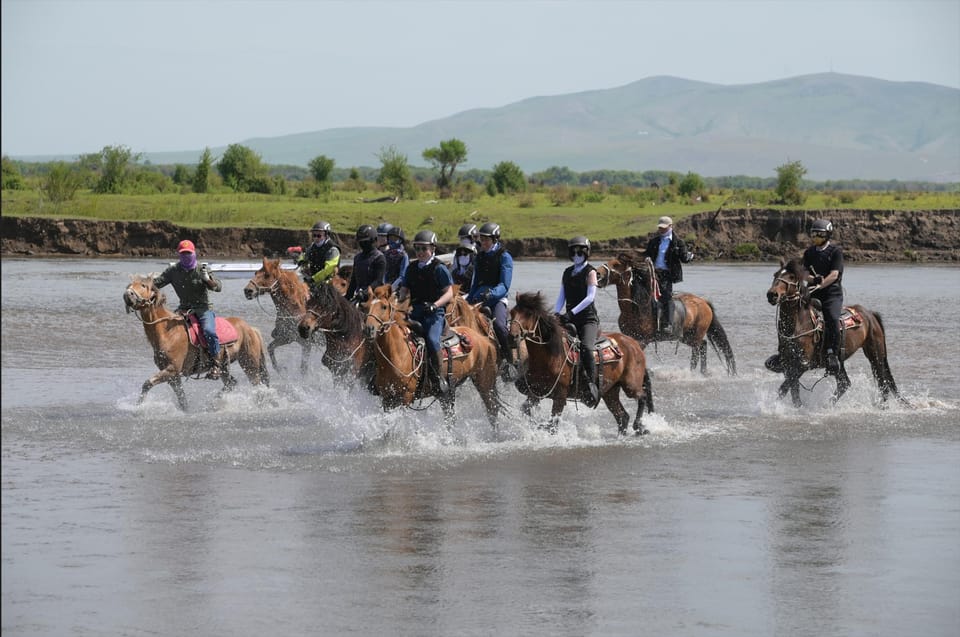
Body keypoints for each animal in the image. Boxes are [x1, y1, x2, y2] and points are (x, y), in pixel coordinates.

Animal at [123, 274, 270, 408]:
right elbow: (181, 398)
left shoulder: (172, 369)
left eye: (143, 285)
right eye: (129, 285)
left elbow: (147, 383)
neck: (167, 332)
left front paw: (138, 405)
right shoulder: (173, 376)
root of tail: (251, 329)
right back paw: (214, 402)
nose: (127, 294)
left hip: (249, 364)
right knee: (231, 384)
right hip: (224, 368)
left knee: (258, 386)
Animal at [360, 284, 502, 428]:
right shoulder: (387, 399)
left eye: (384, 306)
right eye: (365, 307)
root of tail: (483, 339)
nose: (369, 329)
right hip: (447, 393)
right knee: (451, 418)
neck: (397, 354)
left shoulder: (405, 398)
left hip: (485, 382)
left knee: (492, 411)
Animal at [510, 290, 652, 434]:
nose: (512, 336)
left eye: (529, 314)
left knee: (642, 397)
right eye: (512, 312)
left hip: (631, 386)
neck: (550, 356)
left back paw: (639, 426)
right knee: (623, 417)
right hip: (610, 392)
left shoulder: (560, 397)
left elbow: (552, 425)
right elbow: (526, 411)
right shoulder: (536, 394)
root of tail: (634, 344)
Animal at [596, 252, 740, 376]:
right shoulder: (630, 336)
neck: (635, 307)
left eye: (616, 265)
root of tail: (704, 302)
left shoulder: (643, 340)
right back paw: (702, 372)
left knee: (698, 349)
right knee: (703, 345)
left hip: (695, 335)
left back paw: (694, 372)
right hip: (686, 336)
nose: (597, 274)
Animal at [760, 256, 904, 404]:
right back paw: (828, 405)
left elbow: (784, 388)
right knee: (844, 383)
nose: (772, 295)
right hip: (840, 363)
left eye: (792, 277)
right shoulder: (788, 364)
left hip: (876, 355)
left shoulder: (804, 364)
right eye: (775, 275)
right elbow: (793, 392)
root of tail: (870, 314)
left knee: (883, 384)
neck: (798, 325)